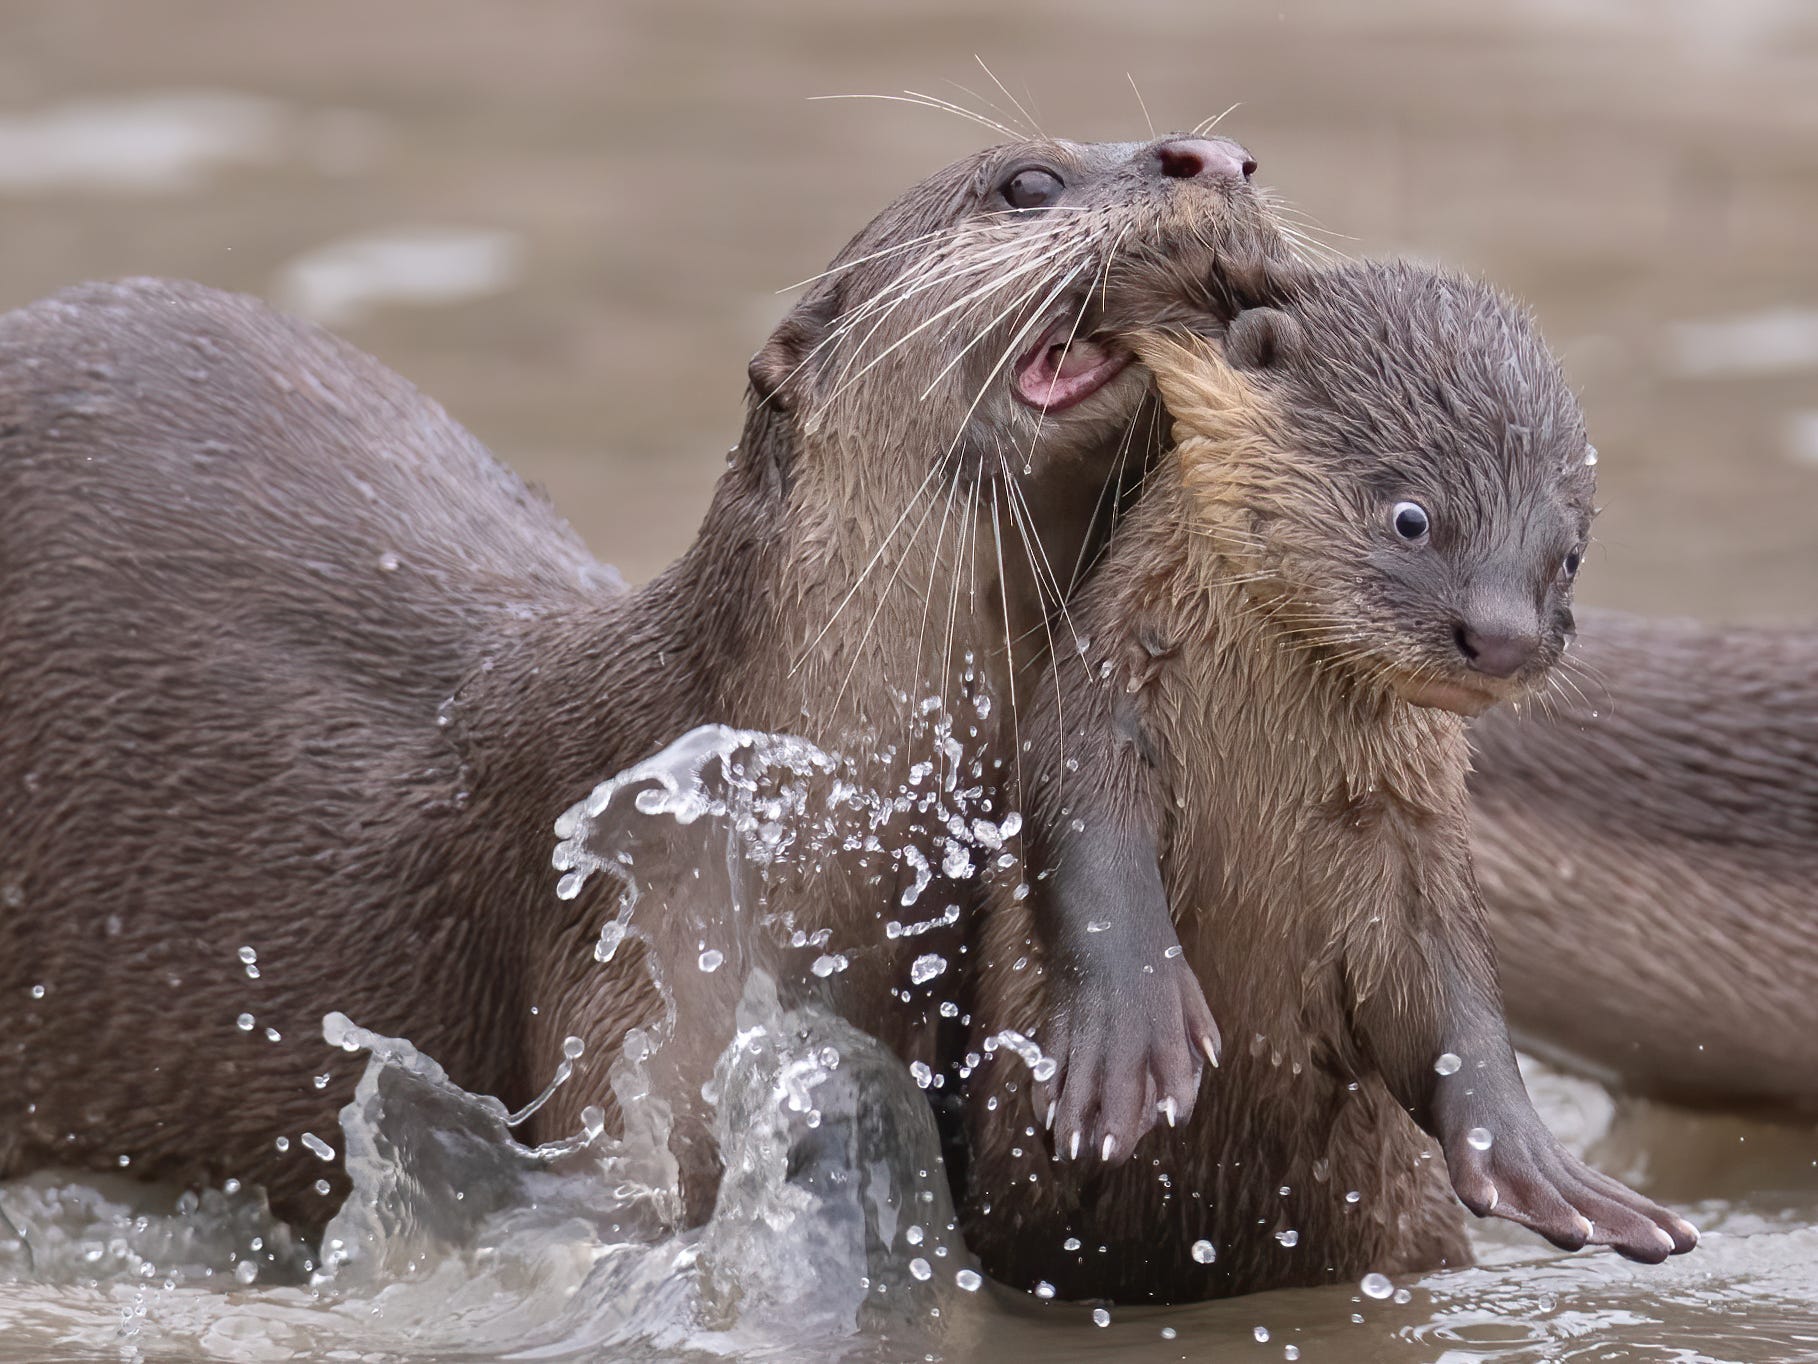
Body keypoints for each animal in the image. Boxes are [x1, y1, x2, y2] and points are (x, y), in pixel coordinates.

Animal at [967, 263, 1701, 1302]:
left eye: (1568, 556)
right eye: (1413, 517)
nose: (1504, 636)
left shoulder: (1413, 829)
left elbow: (1452, 993)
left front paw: (1537, 1163)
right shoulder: (1099, 704)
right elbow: (1087, 848)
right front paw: (1130, 1044)